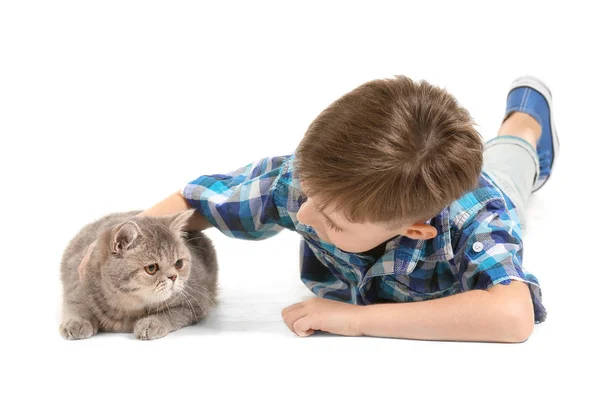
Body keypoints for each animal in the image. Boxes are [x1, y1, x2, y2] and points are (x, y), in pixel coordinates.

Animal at [58, 209, 217, 340]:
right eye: (151, 268)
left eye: (178, 264)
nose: (173, 277)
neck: (128, 305)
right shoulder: (76, 287)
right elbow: (76, 307)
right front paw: (76, 323)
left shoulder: (195, 304)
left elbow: (171, 314)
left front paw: (152, 323)